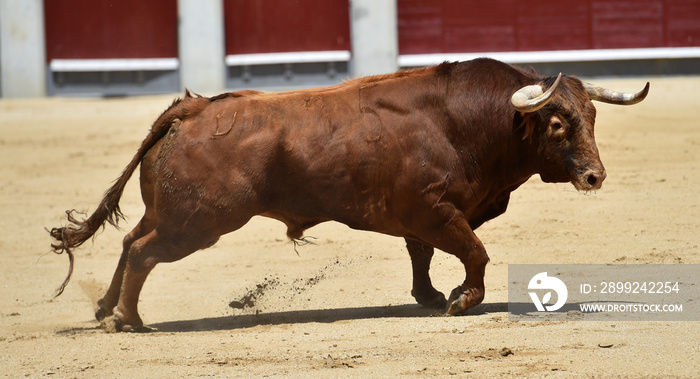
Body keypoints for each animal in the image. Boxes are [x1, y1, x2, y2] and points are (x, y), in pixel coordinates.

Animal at [50, 58, 652, 332]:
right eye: (557, 124)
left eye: (592, 116)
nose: (595, 176)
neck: (472, 121)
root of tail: (193, 109)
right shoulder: (436, 211)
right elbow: (475, 254)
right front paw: (461, 300)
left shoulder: (423, 217)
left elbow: (423, 257)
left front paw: (430, 296)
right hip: (196, 223)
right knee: (144, 251)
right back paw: (129, 319)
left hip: (171, 213)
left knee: (128, 242)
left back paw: (106, 309)